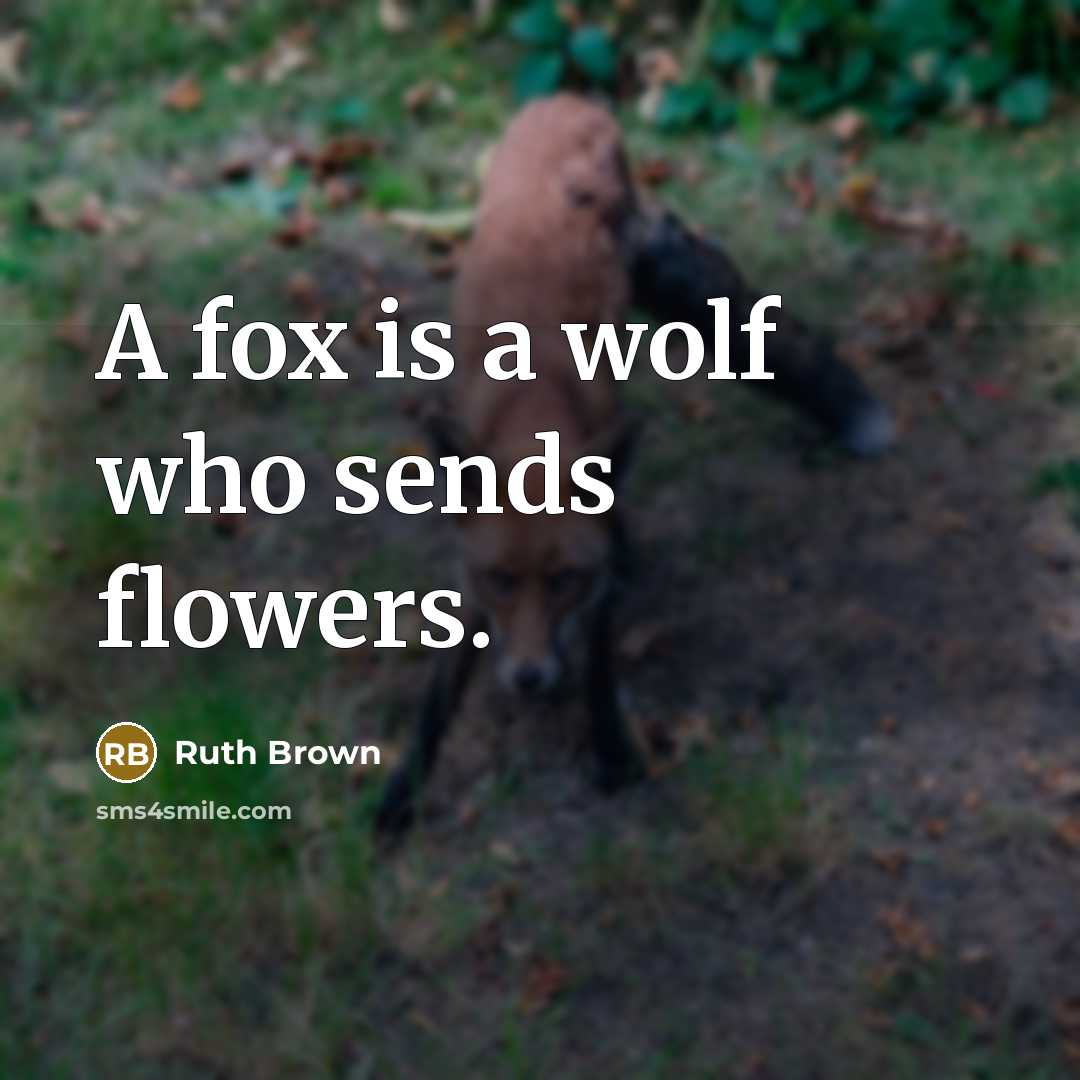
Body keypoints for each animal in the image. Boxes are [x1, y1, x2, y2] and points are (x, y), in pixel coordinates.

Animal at [375, 94, 894, 836]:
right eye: (502, 580)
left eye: (564, 580)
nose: (529, 679)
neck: (533, 403)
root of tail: (568, 99)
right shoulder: (470, 578)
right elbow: (436, 698)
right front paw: (403, 790)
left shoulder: (591, 579)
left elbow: (598, 661)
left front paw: (612, 753)